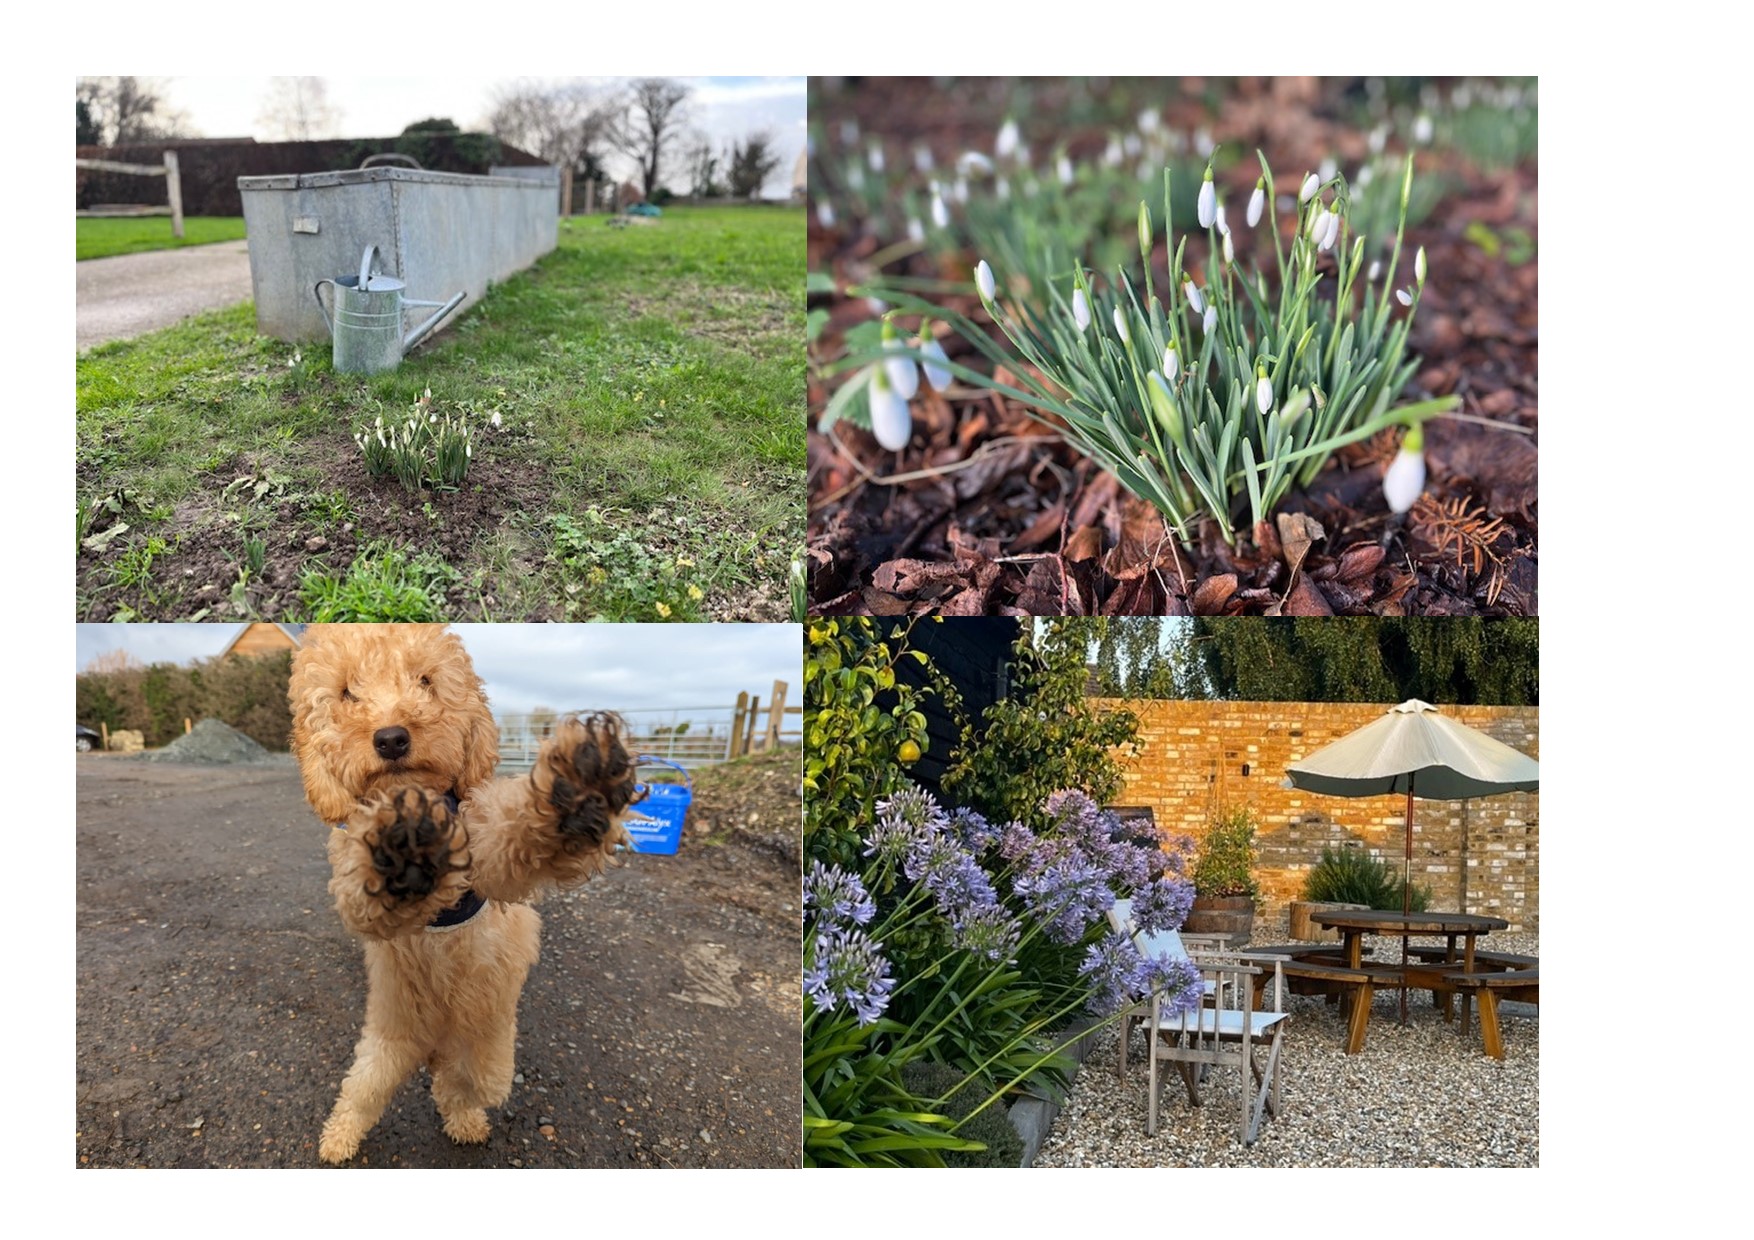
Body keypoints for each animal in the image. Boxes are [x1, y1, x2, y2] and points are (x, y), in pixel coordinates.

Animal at [289, 624, 638, 1171]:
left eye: (426, 681)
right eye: (347, 692)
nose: (391, 738)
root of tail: (433, 1043)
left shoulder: (487, 851)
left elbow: (515, 830)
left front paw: (581, 787)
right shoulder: (355, 882)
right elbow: (368, 895)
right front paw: (398, 851)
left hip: (486, 1053)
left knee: (458, 1086)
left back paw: (467, 1122)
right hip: (385, 1049)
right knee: (364, 1095)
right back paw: (338, 1141)